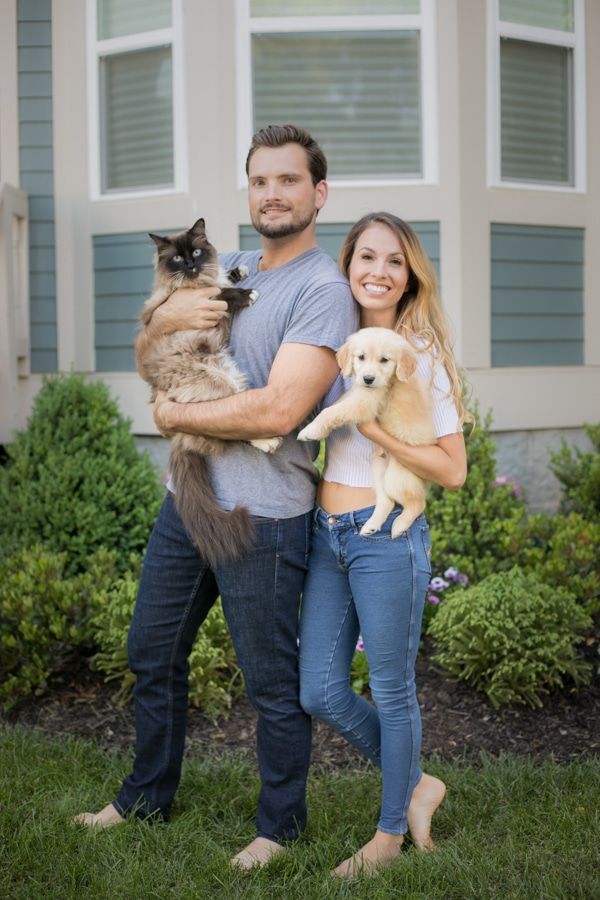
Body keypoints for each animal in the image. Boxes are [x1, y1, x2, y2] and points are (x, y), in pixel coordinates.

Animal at [140, 218, 282, 568]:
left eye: (195, 252)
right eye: (177, 259)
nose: (190, 266)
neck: (197, 280)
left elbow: (223, 277)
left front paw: (238, 270)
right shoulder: (192, 300)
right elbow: (222, 292)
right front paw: (248, 292)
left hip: (231, 378)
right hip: (221, 384)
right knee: (234, 431)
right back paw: (270, 441)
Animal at [296, 330, 434, 540]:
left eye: (384, 360)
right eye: (361, 357)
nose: (368, 379)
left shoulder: (365, 404)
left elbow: (331, 411)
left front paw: (311, 430)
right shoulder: (356, 393)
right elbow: (335, 405)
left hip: (397, 477)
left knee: (418, 503)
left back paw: (399, 525)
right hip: (378, 470)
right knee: (387, 501)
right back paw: (371, 525)